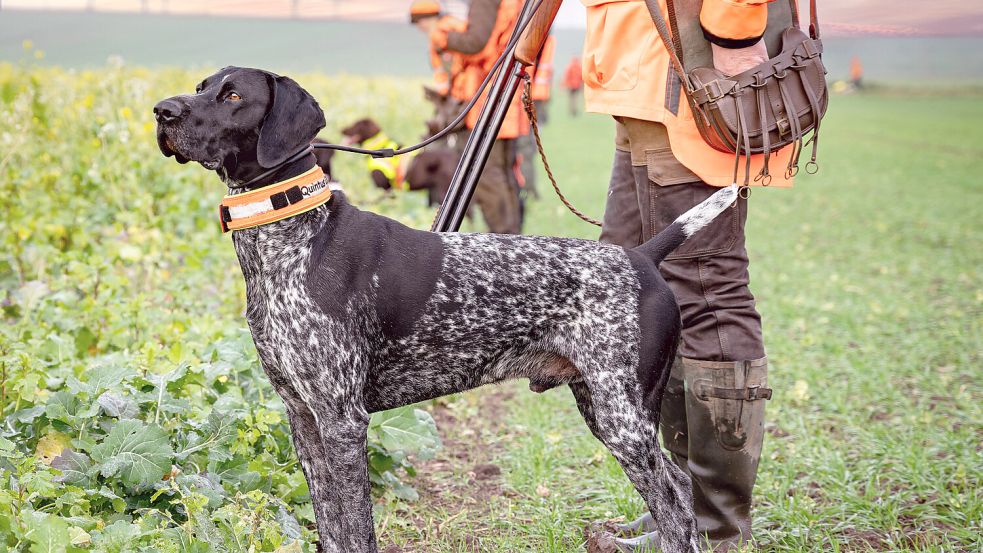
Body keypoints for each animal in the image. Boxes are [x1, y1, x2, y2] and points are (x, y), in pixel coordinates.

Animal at [156, 68, 736, 552]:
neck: (293, 239)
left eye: (233, 96)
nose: (163, 111)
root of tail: (640, 256)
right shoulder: (303, 418)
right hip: (603, 405)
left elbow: (357, 529)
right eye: (202, 85)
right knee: (678, 488)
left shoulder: (343, 419)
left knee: (674, 506)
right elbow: (331, 527)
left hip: (623, 415)